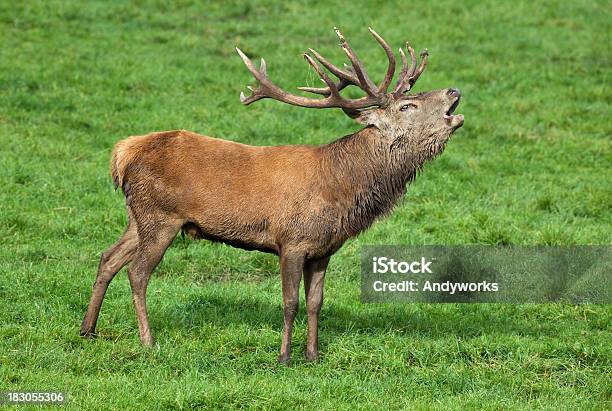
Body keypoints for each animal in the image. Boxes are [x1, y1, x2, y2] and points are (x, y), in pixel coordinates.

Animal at [80, 28, 464, 364]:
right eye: (407, 106)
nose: (454, 90)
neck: (341, 187)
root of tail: (123, 152)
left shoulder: (324, 249)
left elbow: (316, 302)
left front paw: (313, 356)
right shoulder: (291, 240)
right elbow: (290, 301)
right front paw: (283, 357)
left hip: (137, 215)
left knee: (108, 257)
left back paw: (88, 330)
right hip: (161, 216)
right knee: (137, 271)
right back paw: (147, 341)